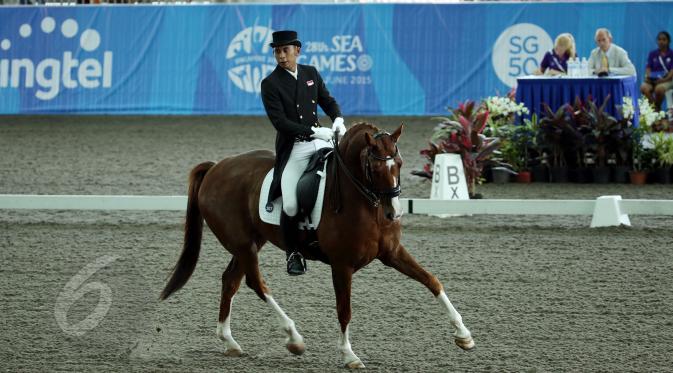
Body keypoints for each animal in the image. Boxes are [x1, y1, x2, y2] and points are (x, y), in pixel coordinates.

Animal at [159, 122, 472, 366]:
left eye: (400, 163)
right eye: (373, 166)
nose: (393, 213)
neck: (363, 202)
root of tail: (216, 167)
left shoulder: (392, 253)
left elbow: (432, 281)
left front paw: (464, 336)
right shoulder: (341, 265)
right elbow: (344, 309)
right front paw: (349, 356)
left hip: (250, 242)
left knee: (231, 280)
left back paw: (230, 342)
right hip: (243, 244)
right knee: (256, 283)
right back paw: (294, 338)